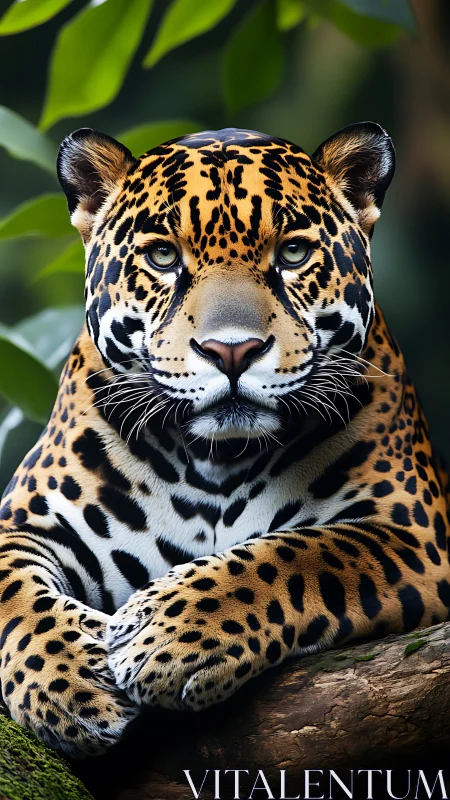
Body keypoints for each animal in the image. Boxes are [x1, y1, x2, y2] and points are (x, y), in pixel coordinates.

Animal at [0, 122, 449, 759]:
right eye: (163, 256)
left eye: (293, 253)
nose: (231, 351)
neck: (217, 458)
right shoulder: (23, 519)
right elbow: (13, 590)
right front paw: (68, 682)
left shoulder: (412, 531)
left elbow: (299, 554)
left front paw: (166, 634)